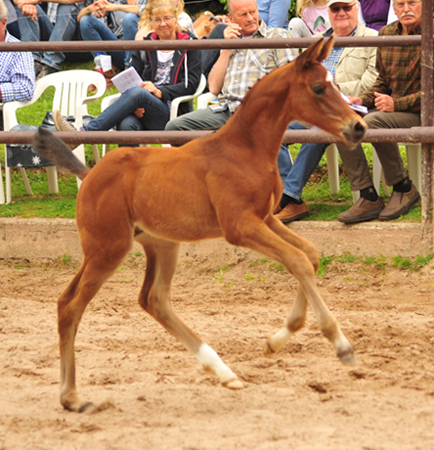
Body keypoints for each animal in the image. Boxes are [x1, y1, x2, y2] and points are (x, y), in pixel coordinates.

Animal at [34, 38, 366, 412]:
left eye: (334, 85)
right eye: (319, 88)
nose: (358, 127)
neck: (245, 149)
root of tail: (89, 174)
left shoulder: (265, 218)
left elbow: (309, 256)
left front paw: (276, 340)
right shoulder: (240, 226)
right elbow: (297, 261)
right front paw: (342, 346)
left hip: (160, 245)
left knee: (153, 300)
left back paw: (223, 371)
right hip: (107, 248)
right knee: (71, 305)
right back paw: (71, 396)